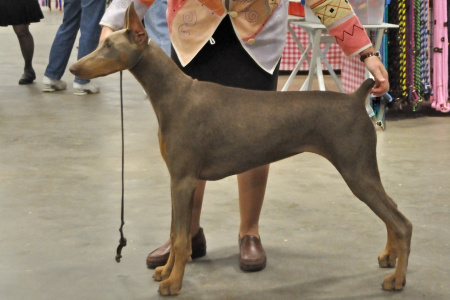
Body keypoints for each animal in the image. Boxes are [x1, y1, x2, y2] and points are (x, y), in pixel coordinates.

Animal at [69, 3, 412, 296]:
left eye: (109, 46)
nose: (74, 67)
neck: (173, 93)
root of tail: (356, 97)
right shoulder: (178, 179)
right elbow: (175, 231)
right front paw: (166, 271)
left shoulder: (182, 179)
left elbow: (180, 239)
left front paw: (173, 283)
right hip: (363, 170)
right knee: (393, 209)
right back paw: (388, 256)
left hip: (356, 169)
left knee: (402, 223)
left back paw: (397, 279)